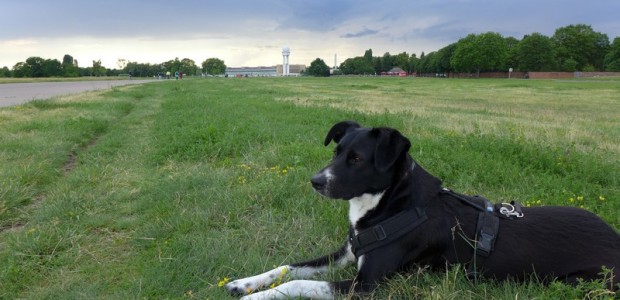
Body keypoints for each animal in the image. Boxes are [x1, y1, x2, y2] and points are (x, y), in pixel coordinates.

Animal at [229, 121, 620, 298]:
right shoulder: (345, 255)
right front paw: (244, 283)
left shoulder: (365, 285)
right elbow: (289, 267)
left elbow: (299, 283)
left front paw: (259, 296)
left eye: (356, 159)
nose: (315, 181)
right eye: (336, 152)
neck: (389, 202)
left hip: (579, 282)